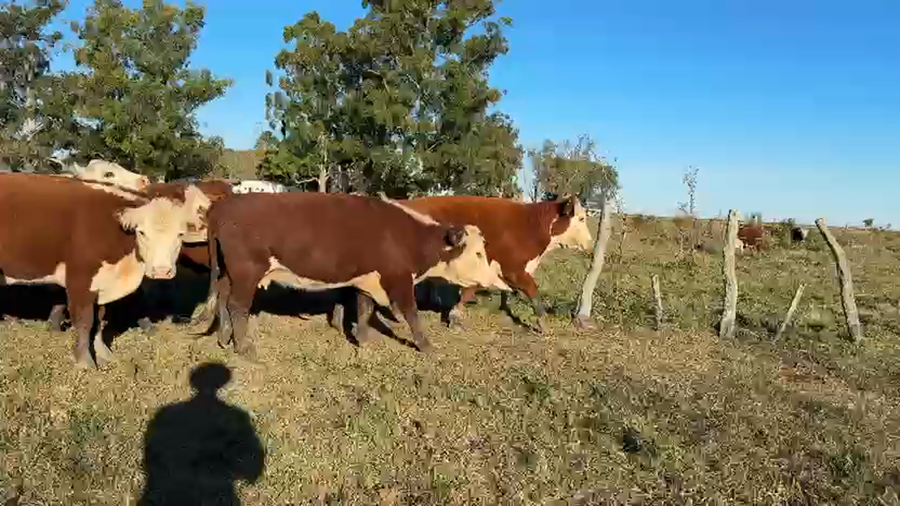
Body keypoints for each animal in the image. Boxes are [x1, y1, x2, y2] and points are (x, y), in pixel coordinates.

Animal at [0, 173, 211, 368]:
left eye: (180, 234)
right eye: (142, 232)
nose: (161, 271)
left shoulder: (102, 283)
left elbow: (99, 321)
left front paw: (103, 353)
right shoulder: (81, 281)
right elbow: (85, 322)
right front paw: (85, 362)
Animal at [189, 192, 510, 359]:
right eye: (477, 253)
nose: (498, 281)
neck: (405, 235)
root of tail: (223, 205)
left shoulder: (368, 279)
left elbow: (365, 309)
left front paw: (364, 341)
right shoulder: (399, 280)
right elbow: (412, 314)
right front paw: (427, 346)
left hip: (229, 273)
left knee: (222, 299)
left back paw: (224, 337)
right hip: (246, 272)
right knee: (237, 306)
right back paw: (244, 347)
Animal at [330, 194, 593, 334]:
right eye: (581, 218)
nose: (591, 243)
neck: (529, 226)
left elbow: (469, 290)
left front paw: (455, 316)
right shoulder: (513, 269)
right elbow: (533, 290)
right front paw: (542, 322)